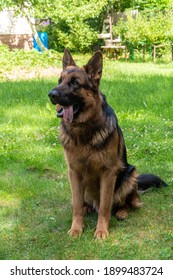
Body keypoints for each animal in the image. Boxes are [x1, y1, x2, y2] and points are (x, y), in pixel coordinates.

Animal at [48, 49, 167, 240]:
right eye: (60, 81)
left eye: (75, 83)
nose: (51, 94)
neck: (84, 132)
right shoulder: (74, 172)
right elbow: (76, 205)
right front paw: (76, 228)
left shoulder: (108, 173)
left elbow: (105, 206)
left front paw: (101, 231)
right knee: (85, 203)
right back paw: (87, 208)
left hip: (130, 174)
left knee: (125, 203)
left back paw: (122, 212)